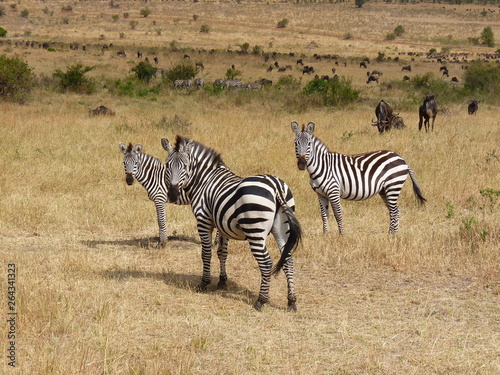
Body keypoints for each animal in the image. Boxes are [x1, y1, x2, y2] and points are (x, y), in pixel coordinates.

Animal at [161, 136, 300, 312]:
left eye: (185, 166)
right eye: (167, 165)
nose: (172, 194)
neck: (204, 180)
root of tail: (275, 186)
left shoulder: (204, 221)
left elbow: (206, 253)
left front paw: (204, 283)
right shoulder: (223, 224)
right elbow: (222, 252)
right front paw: (222, 281)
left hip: (255, 231)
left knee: (266, 263)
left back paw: (261, 300)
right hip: (282, 229)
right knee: (288, 259)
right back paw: (291, 301)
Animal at [292, 122, 428, 235]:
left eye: (309, 144)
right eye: (295, 143)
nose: (302, 164)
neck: (322, 166)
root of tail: (401, 158)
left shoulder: (333, 191)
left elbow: (338, 214)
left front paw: (342, 235)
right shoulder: (321, 194)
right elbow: (324, 215)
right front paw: (325, 235)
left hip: (393, 186)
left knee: (394, 211)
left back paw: (392, 235)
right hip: (384, 190)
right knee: (395, 211)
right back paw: (392, 234)